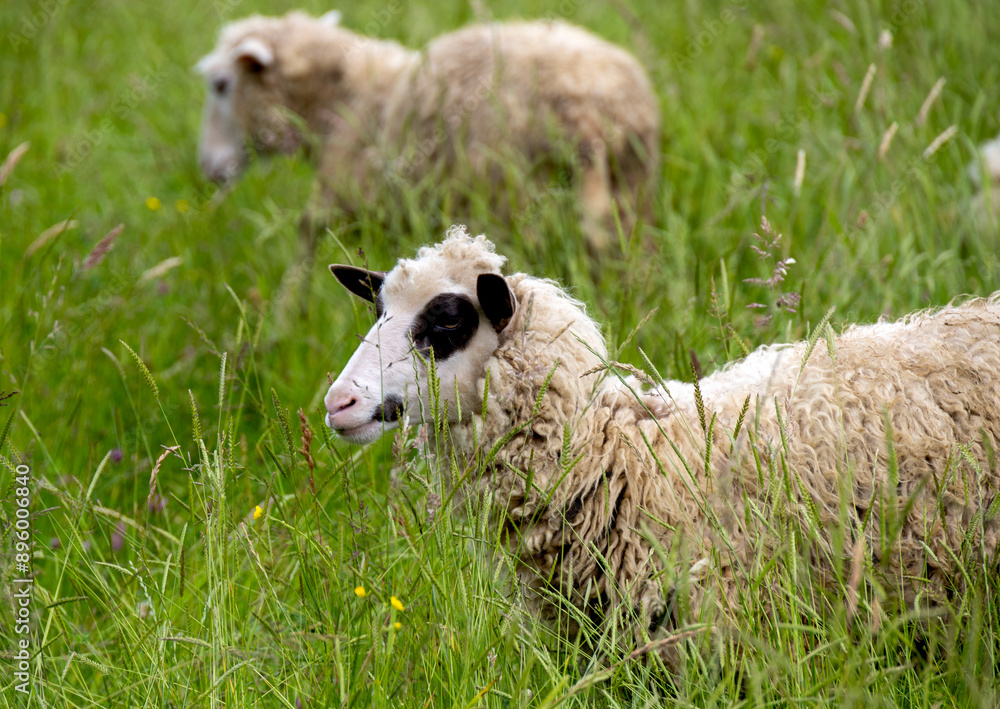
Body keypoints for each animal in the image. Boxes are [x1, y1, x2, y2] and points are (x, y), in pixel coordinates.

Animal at [196, 11, 660, 251]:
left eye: (220, 85)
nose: (208, 168)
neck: (353, 94)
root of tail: (585, 109)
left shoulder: (349, 199)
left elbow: (308, 245)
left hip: (510, 200)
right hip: (630, 193)